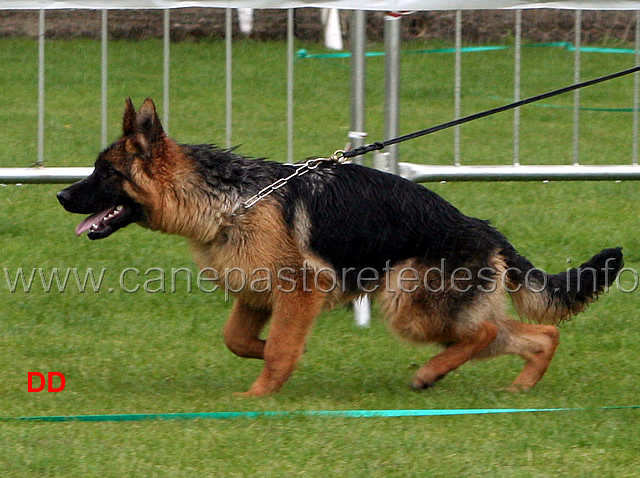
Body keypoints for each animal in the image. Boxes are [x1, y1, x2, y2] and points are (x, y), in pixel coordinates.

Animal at [57, 98, 624, 396]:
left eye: (104, 173)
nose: (61, 196)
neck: (231, 198)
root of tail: (483, 229)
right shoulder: (256, 295)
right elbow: (239, 340)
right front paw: (276, 361)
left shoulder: (299, 290)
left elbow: (278, 348)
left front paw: (260, 395)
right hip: (436, 309)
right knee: (539, 332)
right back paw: (519, 388)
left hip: (408, 306)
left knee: (484, 331)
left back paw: (430, 374)